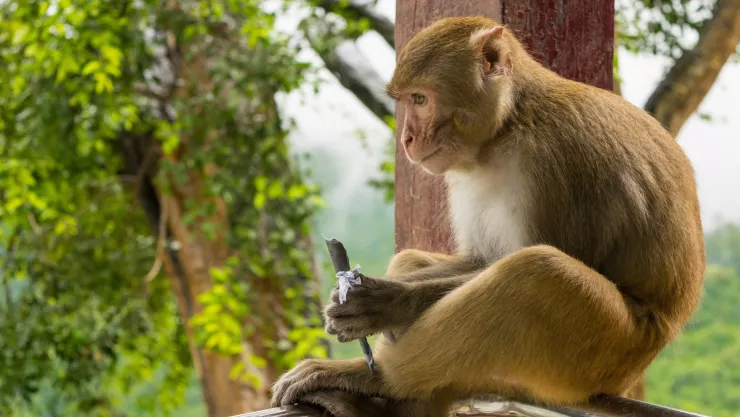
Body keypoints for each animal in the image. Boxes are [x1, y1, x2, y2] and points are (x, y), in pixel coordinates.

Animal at [271, 16, 705, 416]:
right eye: (407, 100)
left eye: (420, 99)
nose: (406, 138)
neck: (508, 126)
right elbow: (480, 259)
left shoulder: (555, 159)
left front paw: (385, 303)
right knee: (424, 261)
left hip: (606, 356)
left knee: (539, 273)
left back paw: (382, 379)